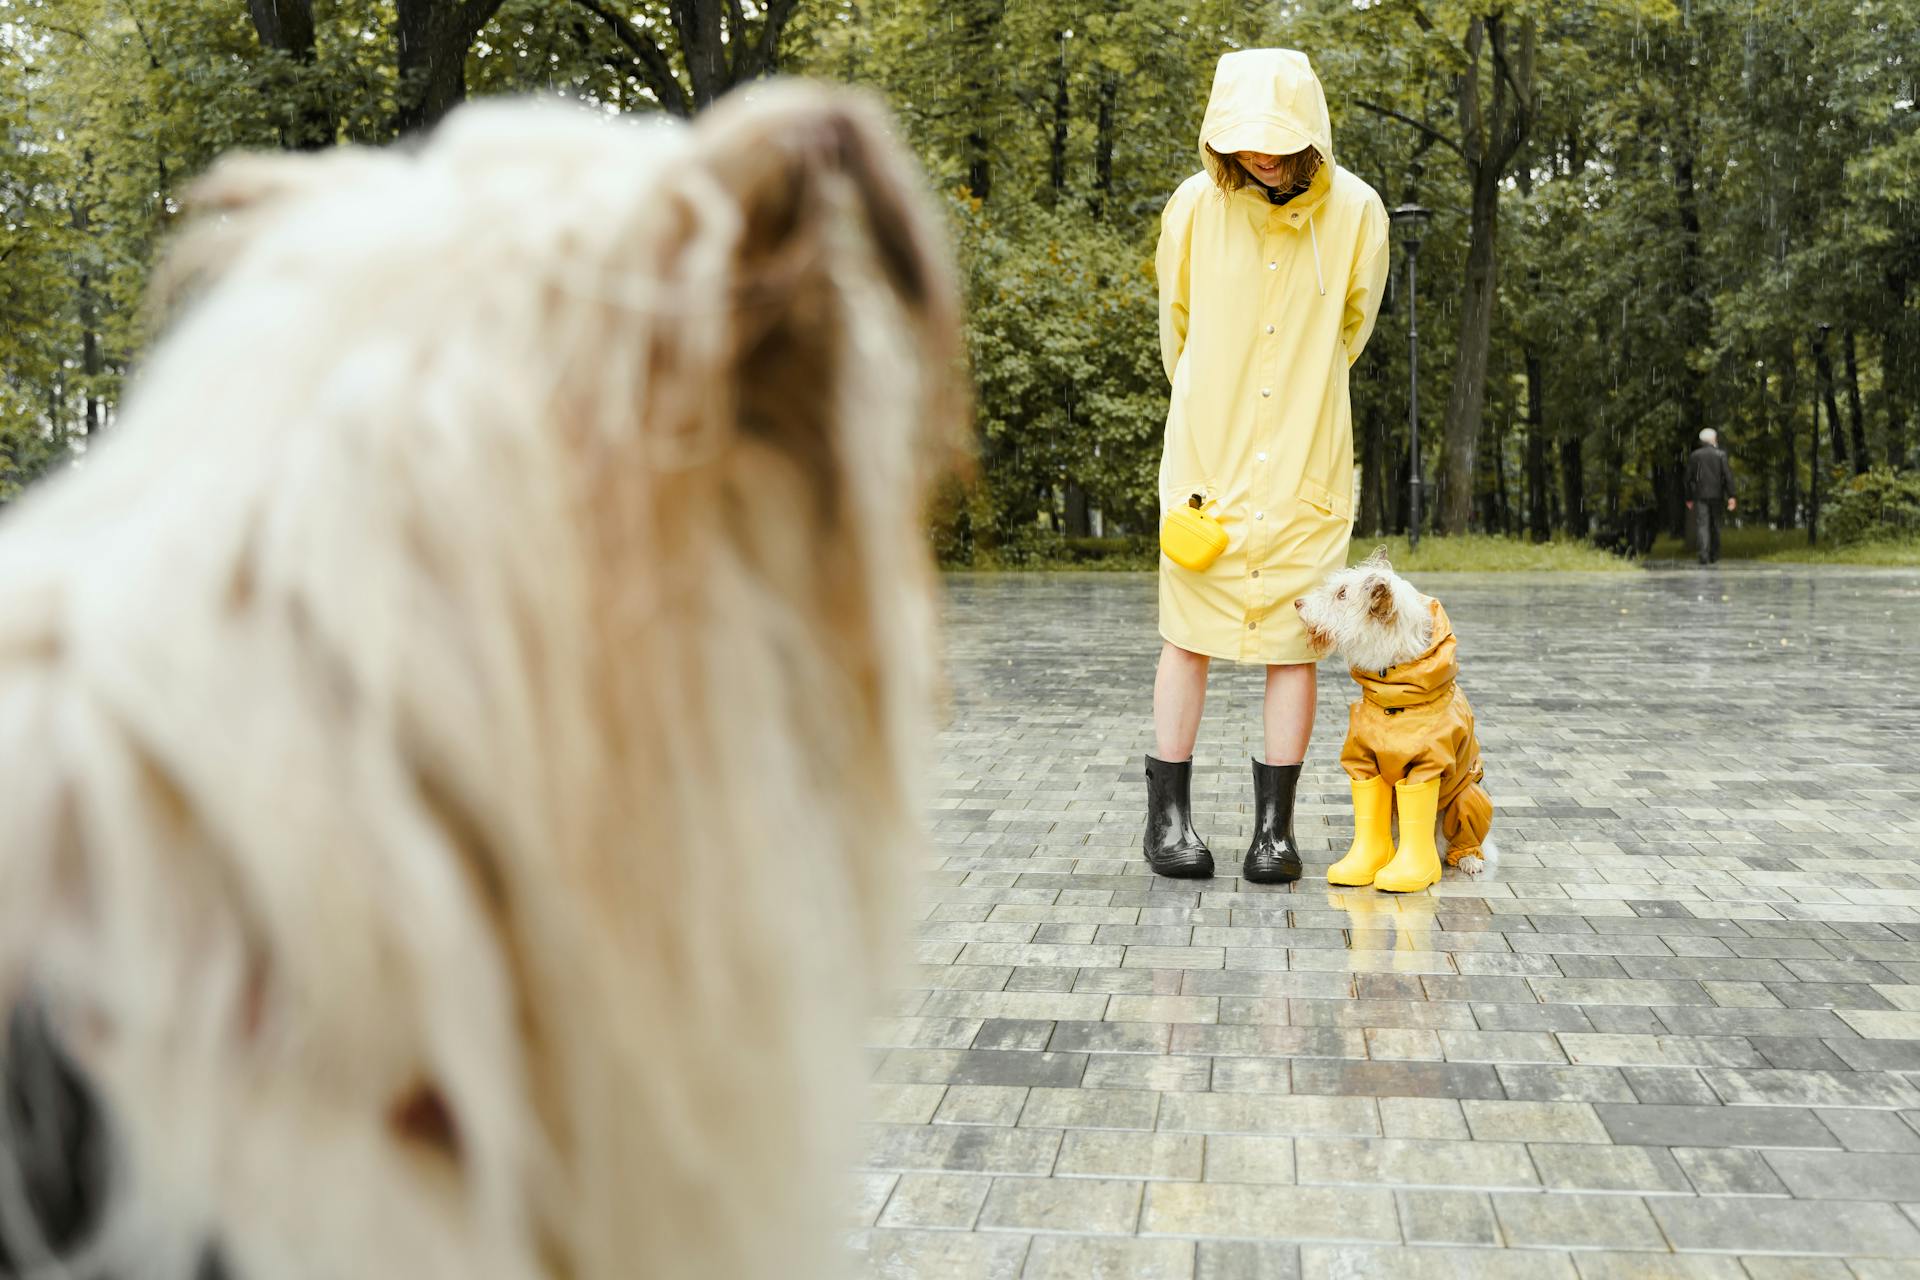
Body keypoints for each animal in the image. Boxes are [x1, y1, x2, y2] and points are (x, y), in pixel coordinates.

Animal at [1290, 552, 1497, 890]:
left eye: (1342, 593)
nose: (1297, 603)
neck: (1395, 692)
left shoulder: (1429, 766)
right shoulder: (1362, 761)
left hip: (1468, 795)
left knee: (1462, 836)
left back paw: (1466, 857)